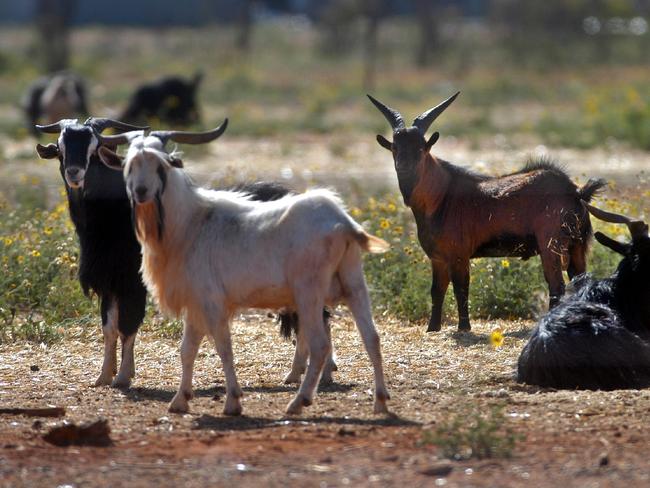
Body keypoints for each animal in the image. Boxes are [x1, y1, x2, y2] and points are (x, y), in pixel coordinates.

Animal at [97, 123, 390, 416]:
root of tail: (342, 223)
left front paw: (233, 402)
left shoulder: (212, 302)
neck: (191, 224)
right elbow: (187, 350)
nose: (141, 191)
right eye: (129, 165)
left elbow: (223, 348)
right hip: (353, 283)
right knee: (372, 338)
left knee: (320, 344)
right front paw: (181, 400)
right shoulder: (195, 304)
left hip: (309, 292)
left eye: (161, 164)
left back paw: (299, 401)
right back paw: (380, 402)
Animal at [370, 92, 608, 332]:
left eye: (421, 149)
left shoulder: (459, 254)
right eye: (395, 148)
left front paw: (464, 328)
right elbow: (437, 291)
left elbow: (461, 289)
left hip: (551, 244)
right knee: (578, 281)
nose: (403, 167)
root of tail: (576, 191)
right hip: (578, 245)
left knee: (556, 285)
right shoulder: (438, 257)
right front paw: (432, 328)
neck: (442, 195)